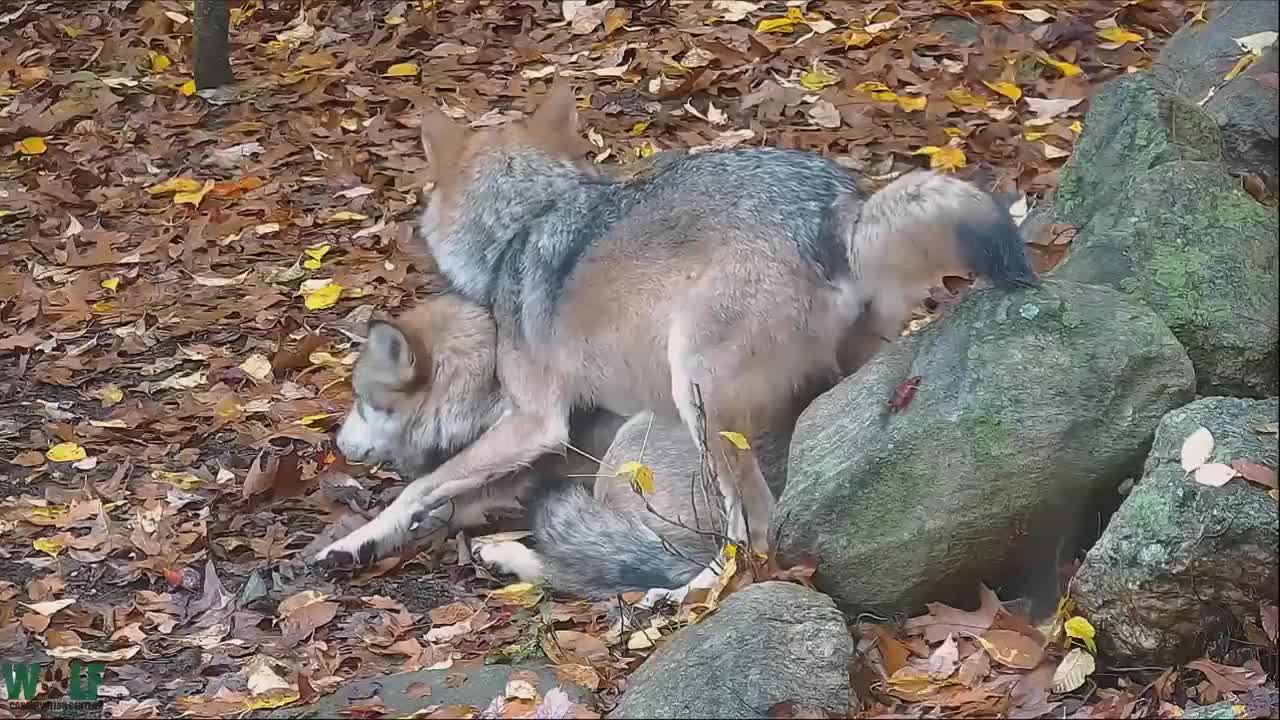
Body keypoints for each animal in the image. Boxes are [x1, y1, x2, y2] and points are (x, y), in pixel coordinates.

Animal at [314, 79, 1034, 571]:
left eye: (364, 401)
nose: (340, 445)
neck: (526, 220)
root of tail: (842, 213)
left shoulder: (535, 423)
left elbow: (422, 486)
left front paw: (352, 541)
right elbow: (450, 493)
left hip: (690, 401)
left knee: (747, 541)